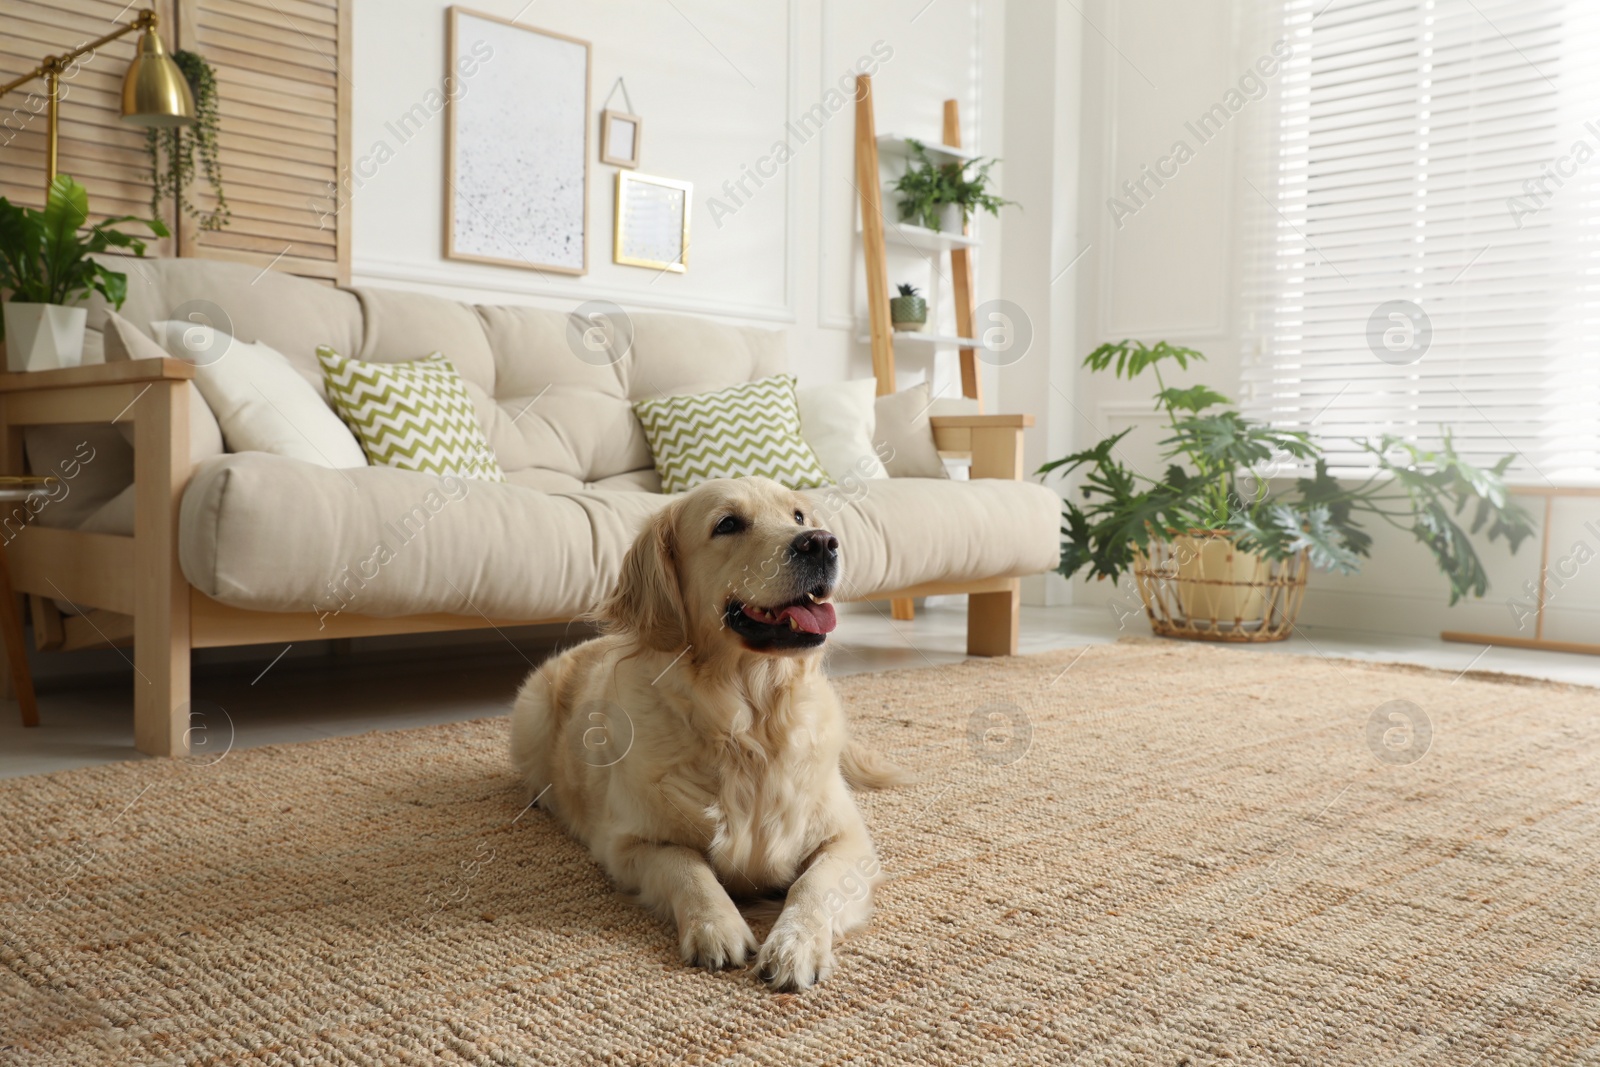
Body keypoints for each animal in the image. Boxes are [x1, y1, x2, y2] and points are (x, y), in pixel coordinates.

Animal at [518, 476, 908, 991]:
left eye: (799, 516)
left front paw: (795, 944)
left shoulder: (848, 841)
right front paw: (717, 928)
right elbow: (688, 868)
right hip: (532, 709)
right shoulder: (628, 844)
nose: (823, 543)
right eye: (727, 524)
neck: (750, 726)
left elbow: (812, 884)